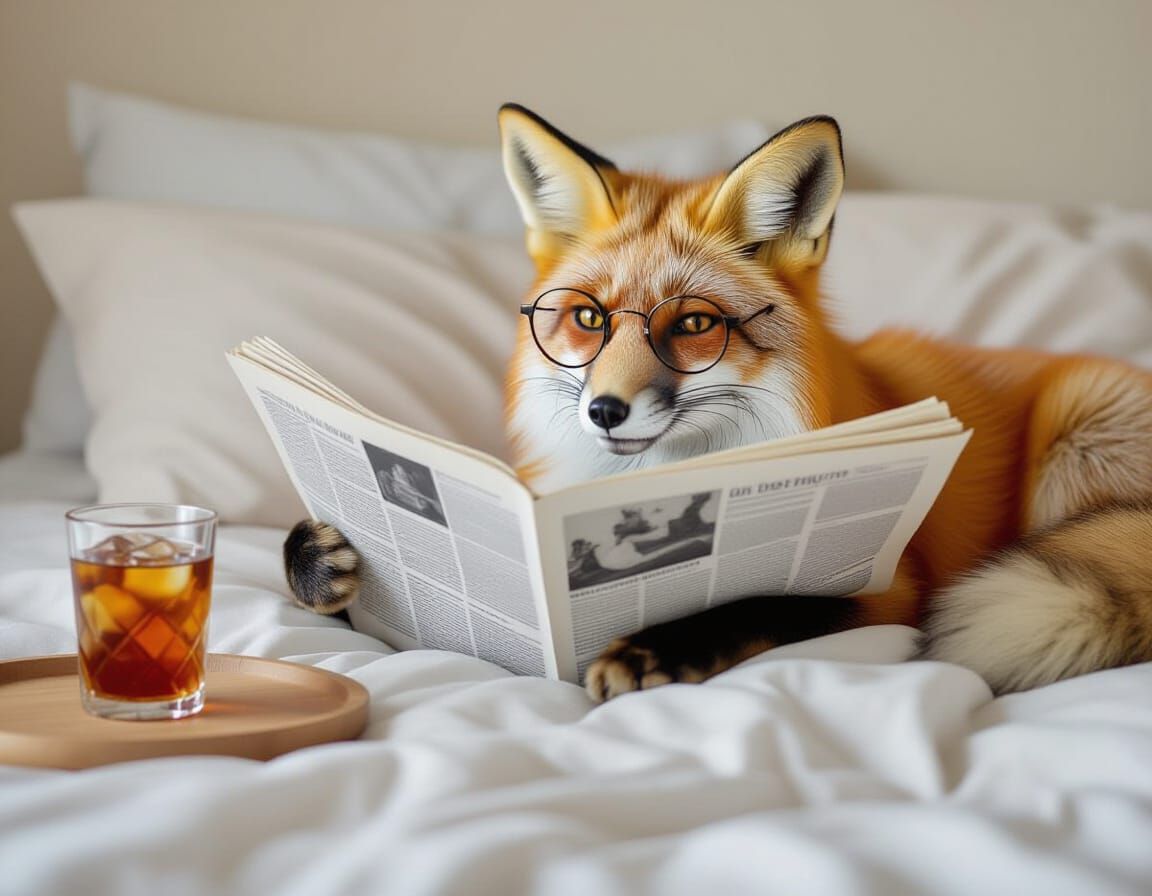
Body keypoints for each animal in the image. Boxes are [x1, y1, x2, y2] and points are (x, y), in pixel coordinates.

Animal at [284, 104, 1152, 702]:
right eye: (590, 319)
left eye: (695, 326)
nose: (605, 411)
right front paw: (319, 557)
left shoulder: (892, 588)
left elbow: (765, 601)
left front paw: (658, 644)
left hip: (1077, 430)